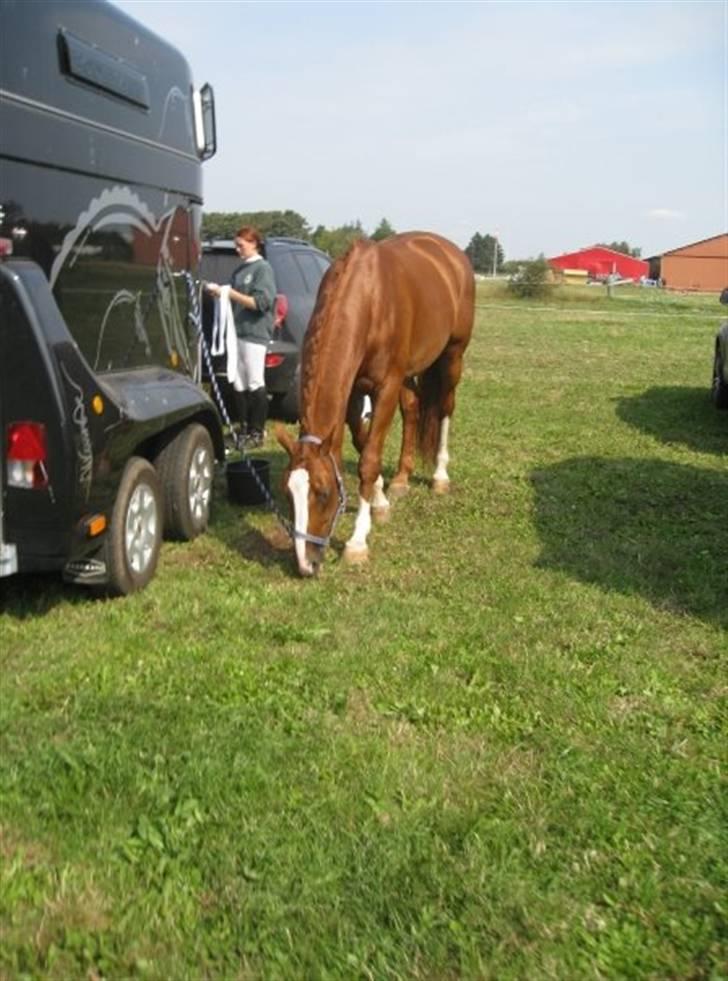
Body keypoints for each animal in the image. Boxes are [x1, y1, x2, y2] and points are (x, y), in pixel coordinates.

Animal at [276, 233, 474, 580]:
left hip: (452, 356)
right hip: (409, 374)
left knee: (446, 408)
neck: (369, 298)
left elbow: (369, 458)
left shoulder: (386, 387)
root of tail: (450, 252)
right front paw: (381, 498)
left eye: (323, 492)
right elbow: (360, 442)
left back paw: (440, 475)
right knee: (413, 409)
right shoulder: (354, 389)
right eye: (288, 492)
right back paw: (402, 479)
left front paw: (357, 542)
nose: (305, 564)